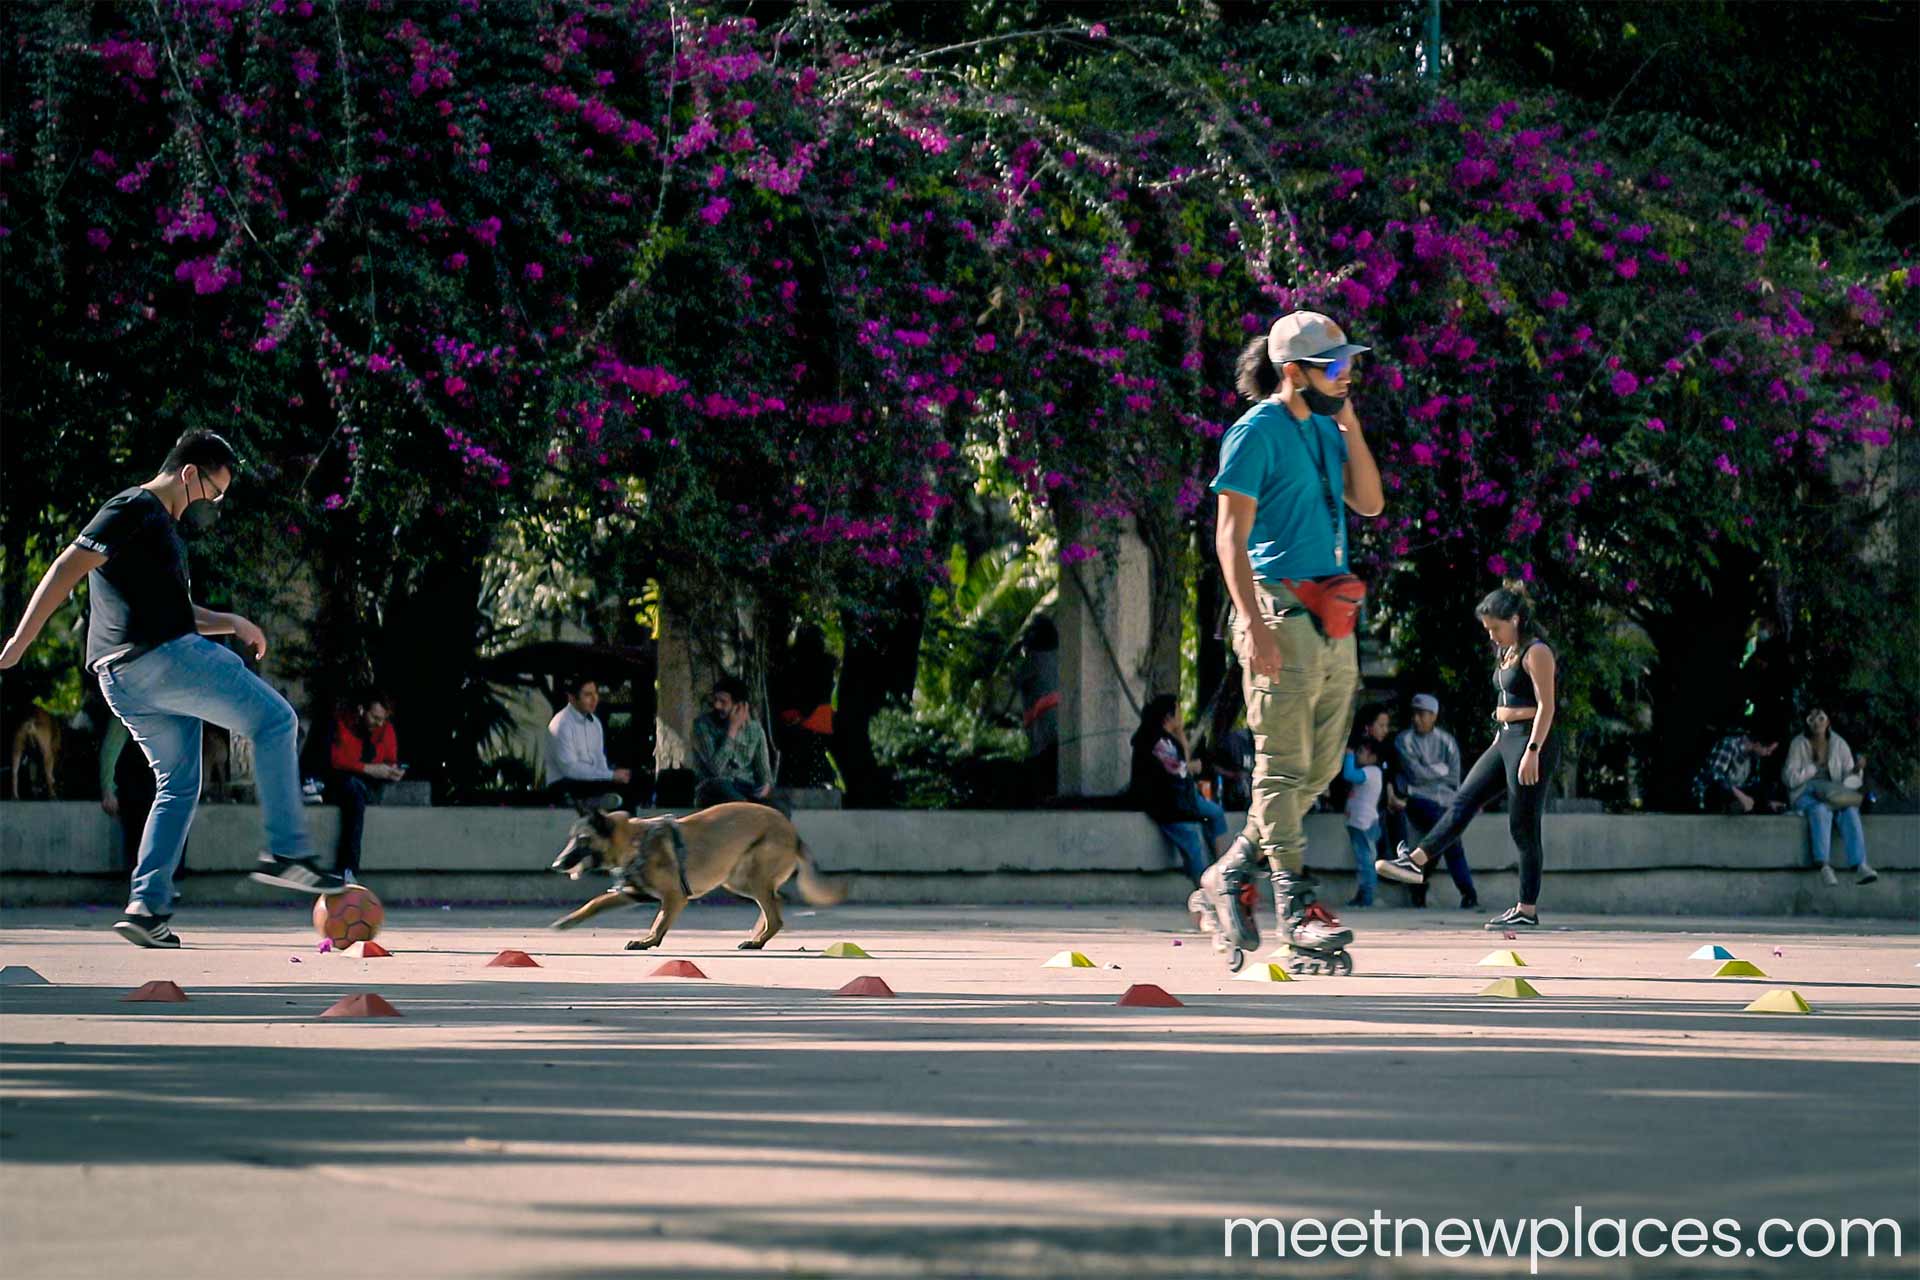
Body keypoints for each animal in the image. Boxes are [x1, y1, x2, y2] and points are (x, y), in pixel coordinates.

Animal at [541, 802, 840, 951]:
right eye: (571, 839)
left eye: (582, 840)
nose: (556, 864)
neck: (634, 841)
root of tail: (793, 832)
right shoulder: (631, 894)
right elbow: (594, 903)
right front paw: (568, 921)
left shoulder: (674, 897)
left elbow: (659, 921)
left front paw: (648, 941)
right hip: (737, 879)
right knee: (775, 905)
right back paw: (758, 935)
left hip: (751, 878)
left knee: (775, 914)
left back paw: (757, 941)